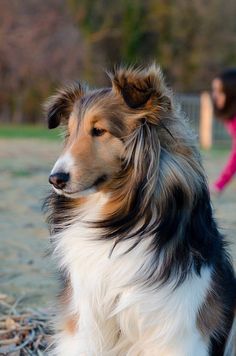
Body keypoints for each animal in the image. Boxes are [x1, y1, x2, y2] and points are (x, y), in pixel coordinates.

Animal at [43, 64, 235, 356]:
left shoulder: (176, 331)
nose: (55, 179)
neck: (122, 222)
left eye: (99, 131)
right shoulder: (86, 321)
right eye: (71, 133)